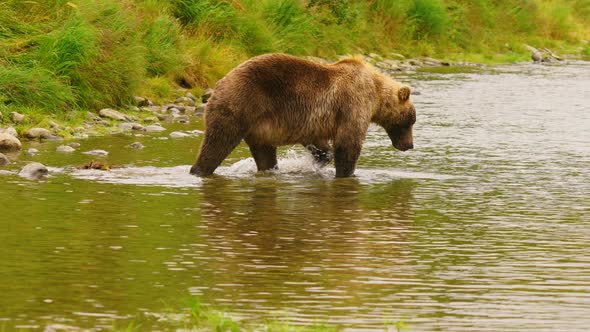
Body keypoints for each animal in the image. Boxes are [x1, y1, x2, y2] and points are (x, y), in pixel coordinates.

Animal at [190, 53, 416, 178]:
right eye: (410, 121)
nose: (409, 145)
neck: (376, 94)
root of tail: (219, 82)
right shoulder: (354, 103)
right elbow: (348, 143)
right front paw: (347, 173)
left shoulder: (315, 122)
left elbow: (320, 143)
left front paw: (320, 158)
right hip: (240, 104)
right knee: (218, 141)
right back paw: (199, 170)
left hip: (259, 128)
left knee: (264, 153)